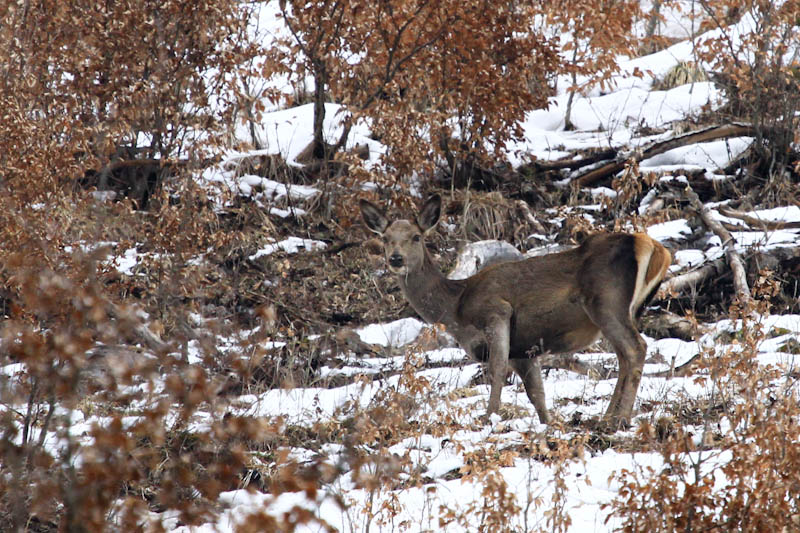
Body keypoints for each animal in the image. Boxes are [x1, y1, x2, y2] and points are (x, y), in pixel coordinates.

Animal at [360, 193, 668, 426]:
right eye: (385, 237)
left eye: (415, 236)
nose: (395, 259)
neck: (456, 307)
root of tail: (655, 248)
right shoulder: (524, 352)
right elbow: (537, 394)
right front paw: (548, 424)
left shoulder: (496, 311)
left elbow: (496, 370)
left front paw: (489, 417)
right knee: (624, 356)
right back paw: (609, 416)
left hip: (606, 301)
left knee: (635, 349)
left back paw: (619, 419)